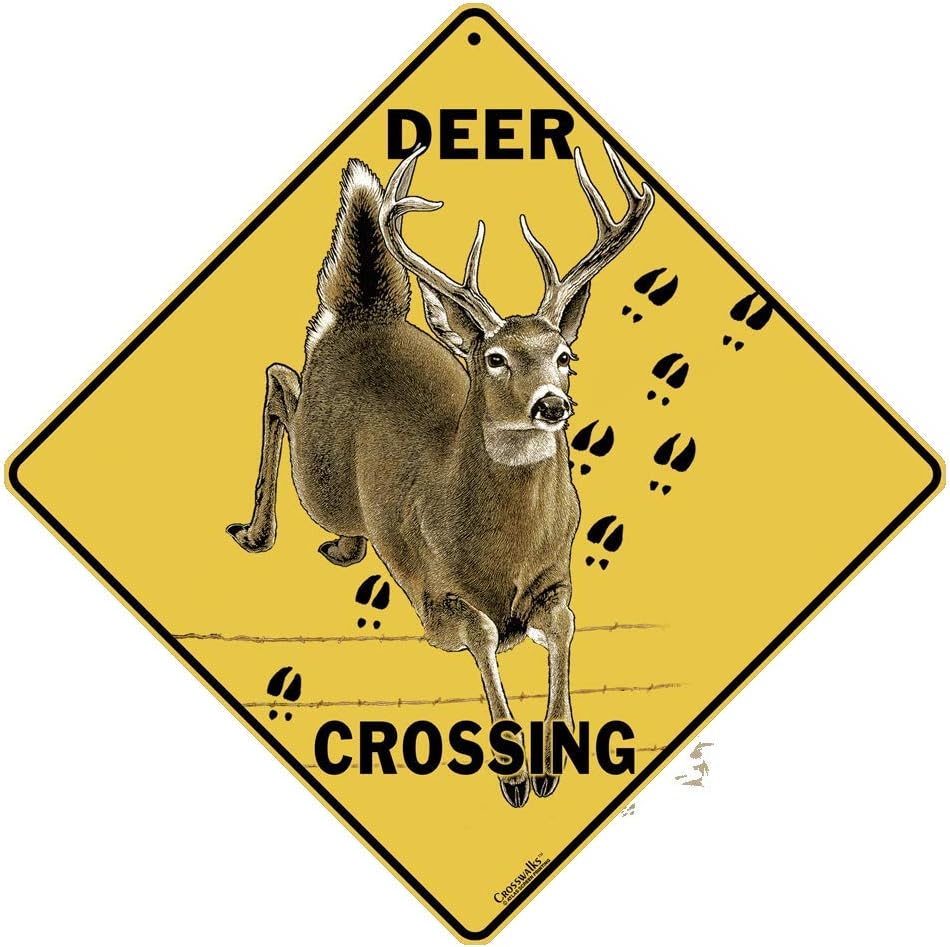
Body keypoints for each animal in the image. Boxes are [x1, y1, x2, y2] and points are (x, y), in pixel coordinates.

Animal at [227, 140, 654, 807]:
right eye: (495, 358)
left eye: (566, 356)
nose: (553, 404)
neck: (503, 552)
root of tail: (360, 316)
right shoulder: (433, 592)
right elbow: (481, 633)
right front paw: (514, 772)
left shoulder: (557, 576)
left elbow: (563, 624)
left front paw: (554, 756)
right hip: (317, 474)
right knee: (278, 379)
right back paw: (256, 533)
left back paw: (344, 548)